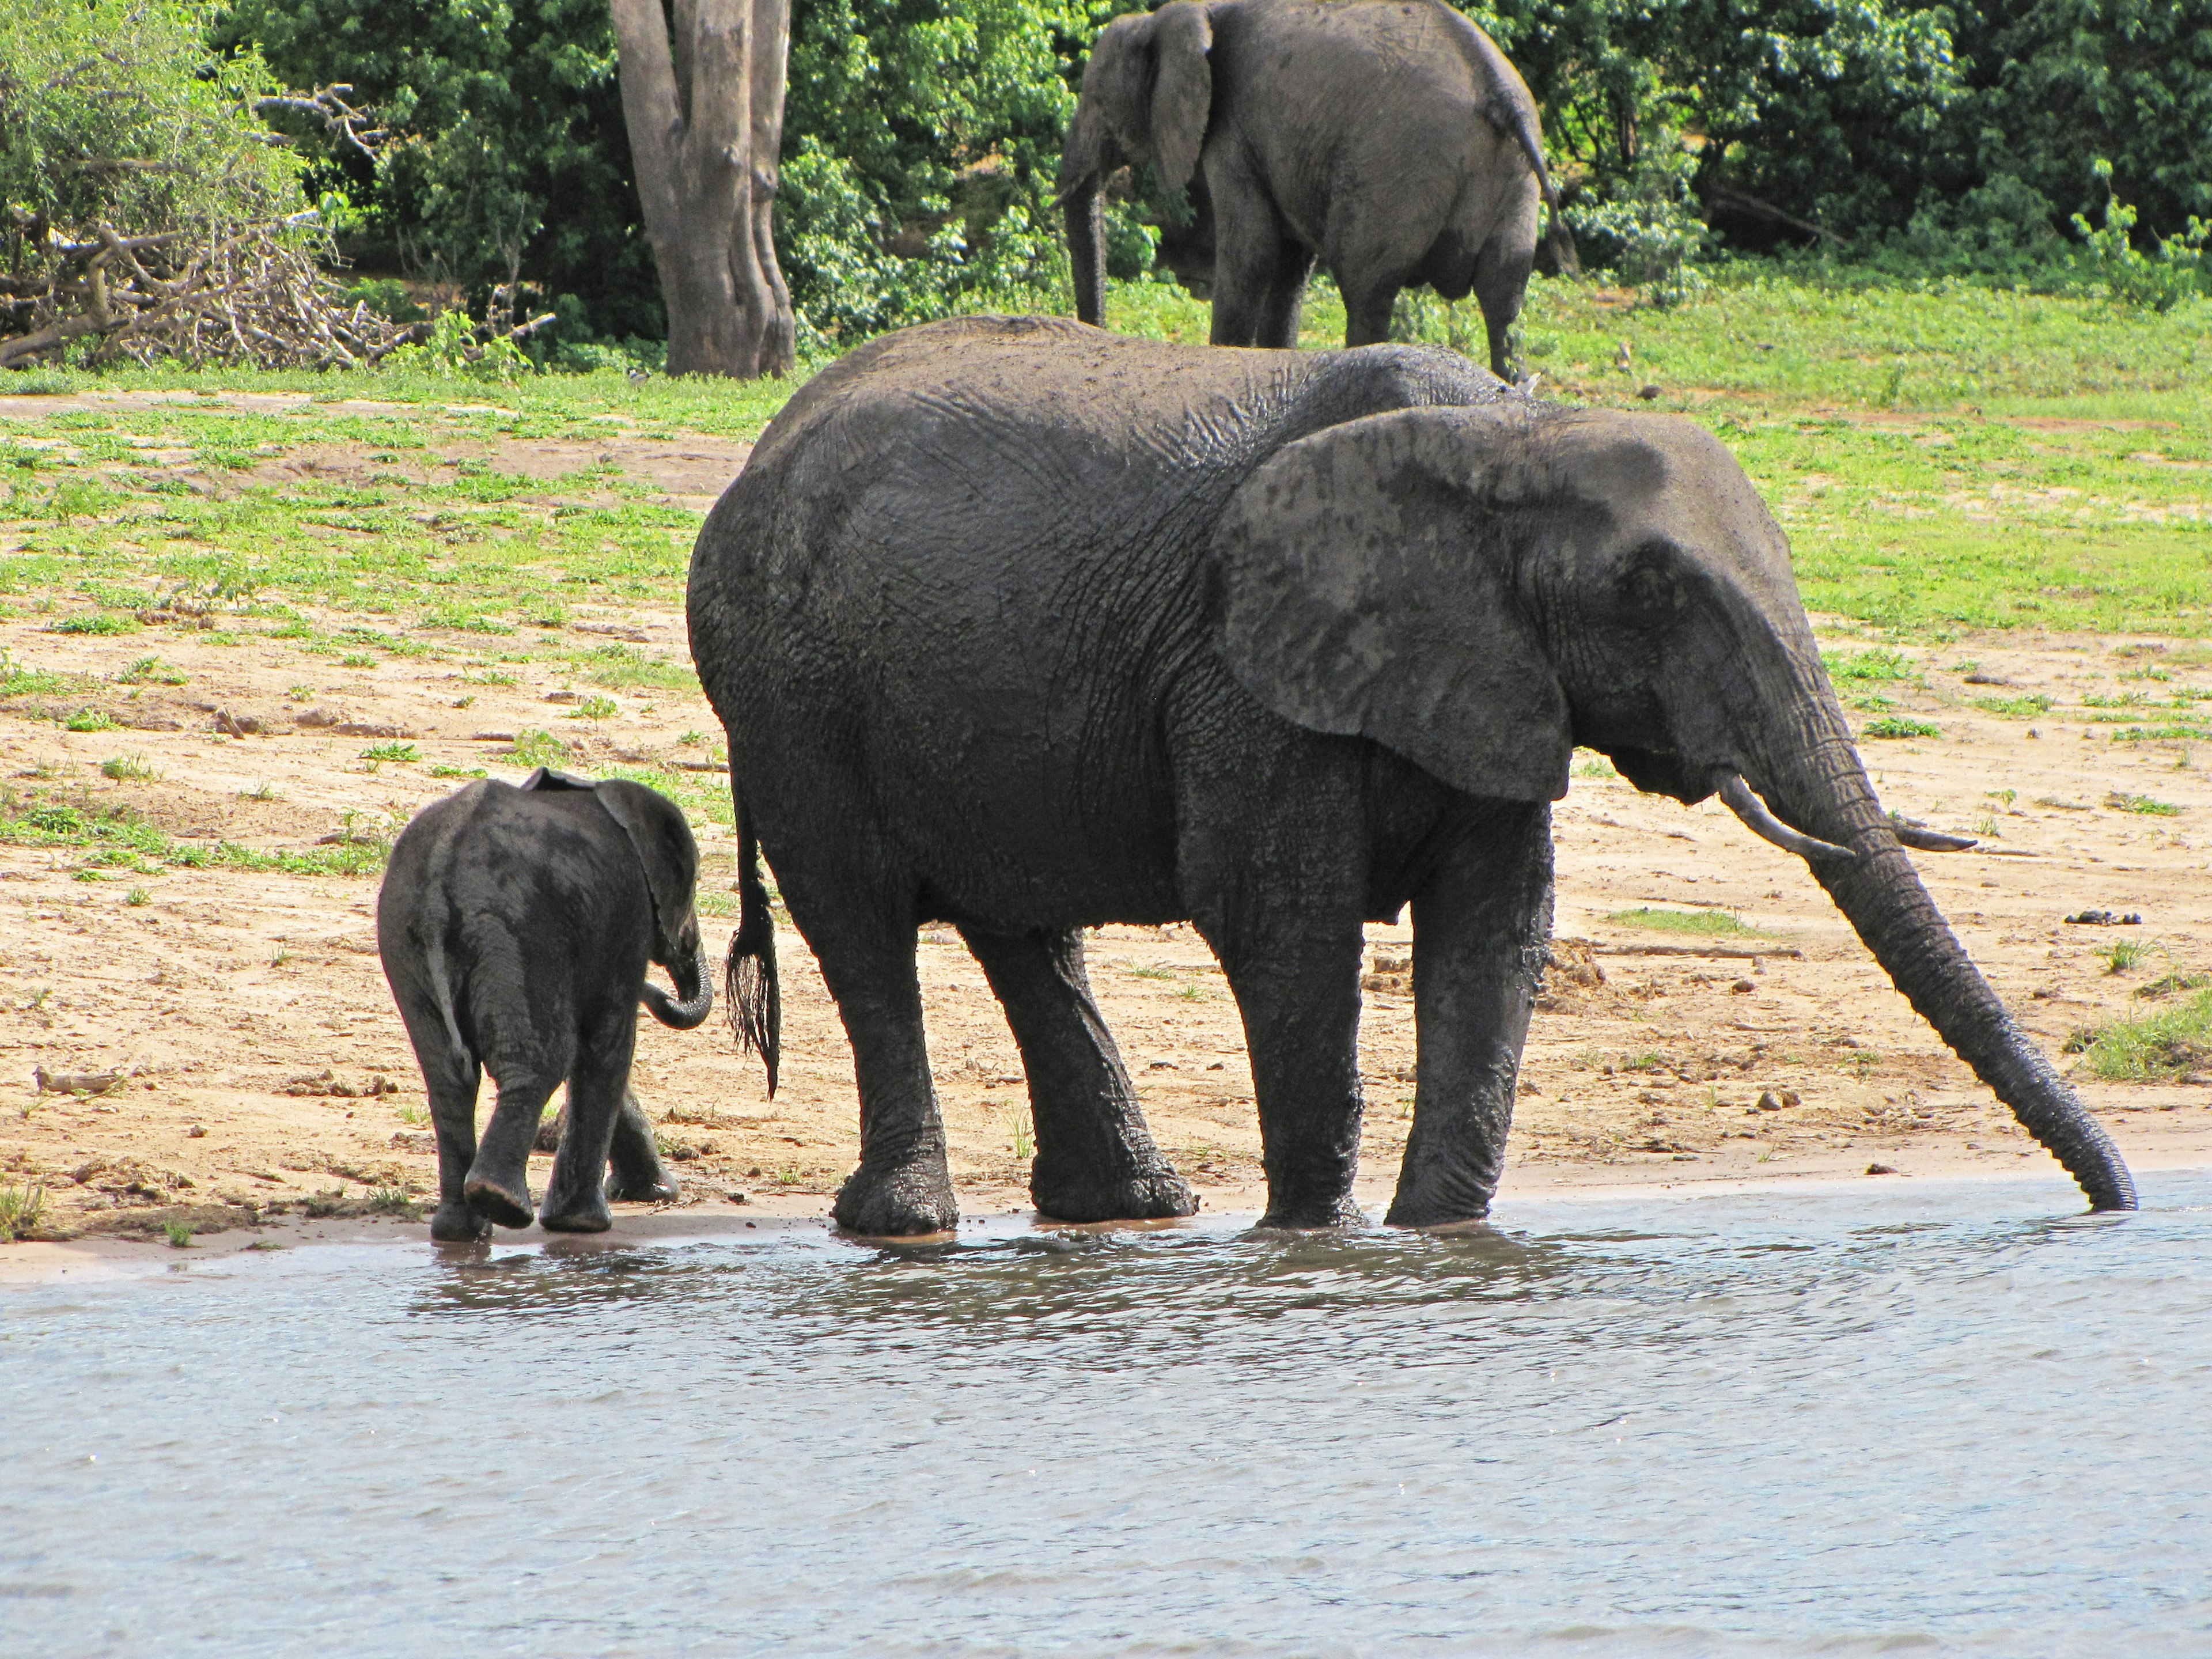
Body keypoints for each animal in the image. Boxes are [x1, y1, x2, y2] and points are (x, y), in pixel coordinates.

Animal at [376, 774, 712, 1238]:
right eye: (692, 887)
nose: (660, 987)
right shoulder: (626, 919)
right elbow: (606, 1043)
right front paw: (583, 1224)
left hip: (404, 936)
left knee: (447, 1078)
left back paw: (461, 1232)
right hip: (517, 929)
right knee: (541, 1061)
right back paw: (500, 1203)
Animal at [685, 318, 2123, 1238]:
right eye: (1649, 592)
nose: (2116, 1205)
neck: (1510, 440)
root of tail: (759, 448)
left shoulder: (1487, 671)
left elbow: (1494, 931)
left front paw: (1435, 1239)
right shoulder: (1244, 671)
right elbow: (1284, 924)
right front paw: (1312, 1243)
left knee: (1024, 936)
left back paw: (1133, 1211)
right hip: (787, 693)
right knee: (864, 923)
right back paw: (910, 1226)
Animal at [1052, 0, 1575, 376]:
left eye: (1096, 100)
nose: (1099, 333)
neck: (1169, 17)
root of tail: (1502, 97)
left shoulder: (1231, 128)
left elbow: (1253, 252)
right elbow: (1288, 264)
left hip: (1398, 171)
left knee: (1366, 288)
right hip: (1515, 182)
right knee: (1504, 302)